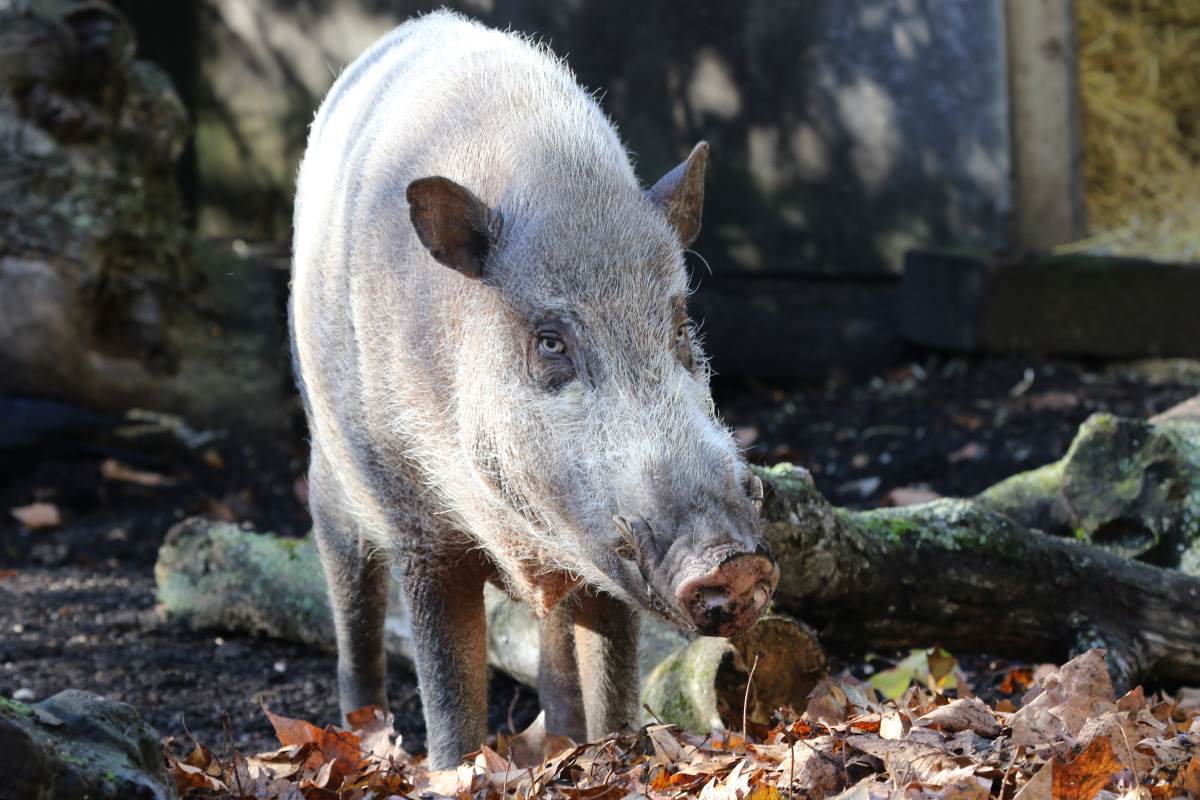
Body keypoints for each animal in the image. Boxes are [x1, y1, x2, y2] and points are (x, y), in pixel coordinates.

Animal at [289, 11, 778, 770]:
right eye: (550, 342)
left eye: (676, 323)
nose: (733, 560)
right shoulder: (421, 532)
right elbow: (449, 684)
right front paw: (452, 772)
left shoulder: (602, 556)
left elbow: (610, 672)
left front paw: (614, 753)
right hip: (331, 474)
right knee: (353, 605)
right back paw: (365, 738)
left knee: (555, 647)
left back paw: (561, 742)